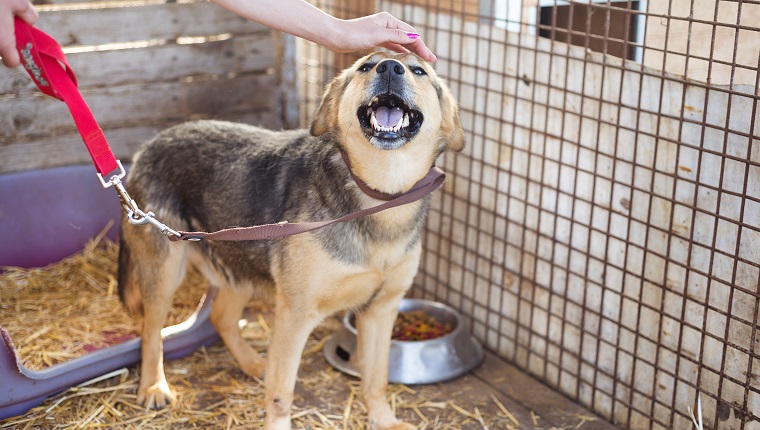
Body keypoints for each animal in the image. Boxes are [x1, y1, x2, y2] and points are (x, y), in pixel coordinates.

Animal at [118, 52, 464, 428]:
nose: (389, 67)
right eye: (365, 66)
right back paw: (154, 386)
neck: (380, 197)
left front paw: (384, 420)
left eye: (418, 70)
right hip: (165, 271)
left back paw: (253, 363)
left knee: (220, 317)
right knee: (150, 331)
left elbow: (376, 378)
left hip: (238, 263)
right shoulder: (295, 314)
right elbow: (282, 391)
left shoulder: (382, 309)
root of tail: (148, 146)